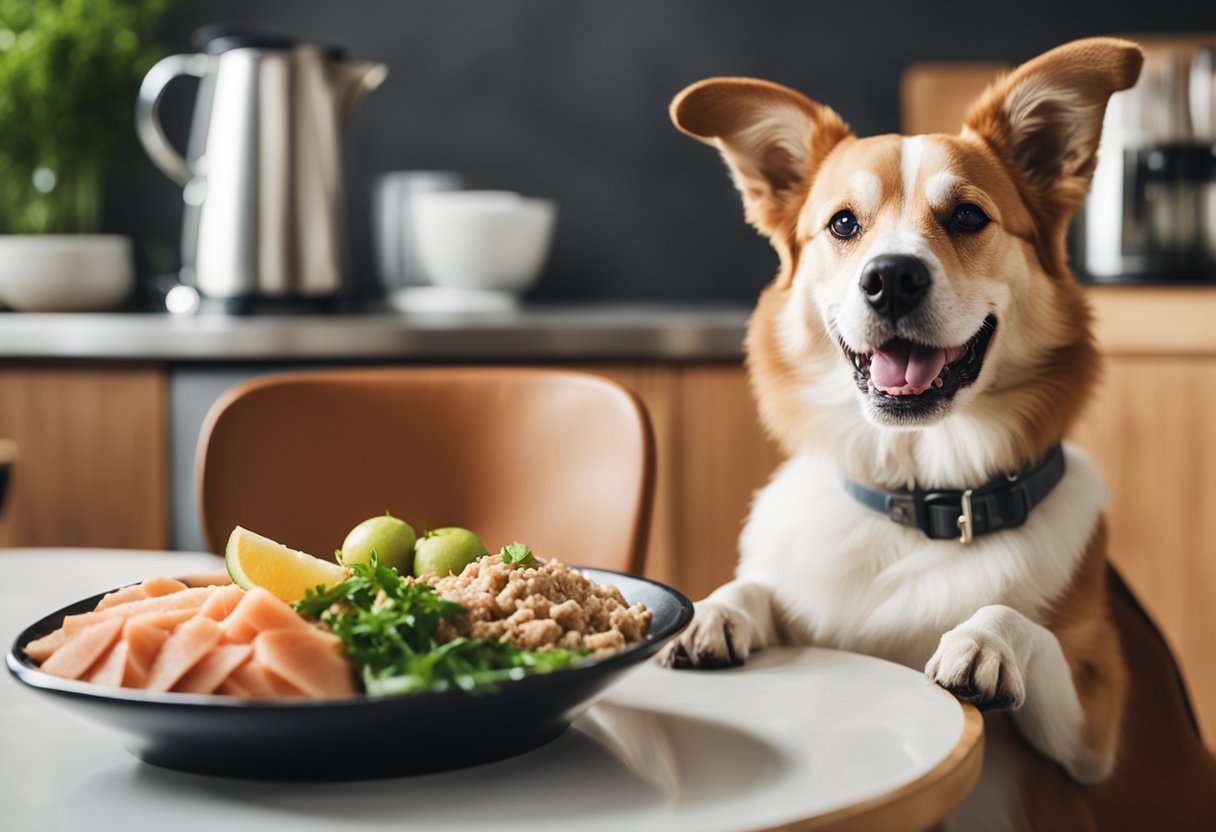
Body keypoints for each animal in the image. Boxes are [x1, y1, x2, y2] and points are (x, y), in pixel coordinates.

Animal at [661, 35, 1216, 827]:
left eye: (967, 218)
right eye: (843, 224)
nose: (891, 278)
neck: (920, 497)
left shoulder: (1098, 732)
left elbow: (1019, 620)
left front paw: (984, 641)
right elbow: (759, 585)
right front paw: (713, 611)